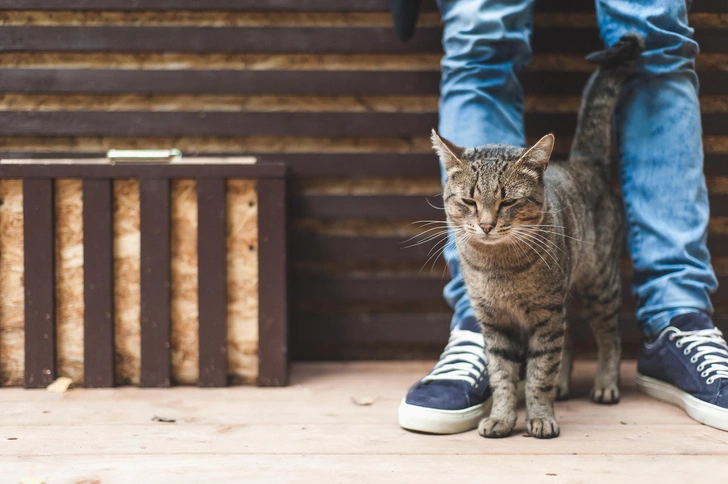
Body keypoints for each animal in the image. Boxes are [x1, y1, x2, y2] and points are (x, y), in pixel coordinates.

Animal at [430, 32, 644, 436]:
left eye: (507, 202)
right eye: (468, 201)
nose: (485, 225)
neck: (497, 268)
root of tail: (584, 162)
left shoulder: (545, 315)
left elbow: (540, 371)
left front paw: (540, 416)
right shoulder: (494, 321)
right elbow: (502, 374)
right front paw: (502, 416)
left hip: (600, 286)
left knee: (609, 337)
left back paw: (605, 384)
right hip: (567, 298)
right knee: (570, 341)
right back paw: (563, 386)